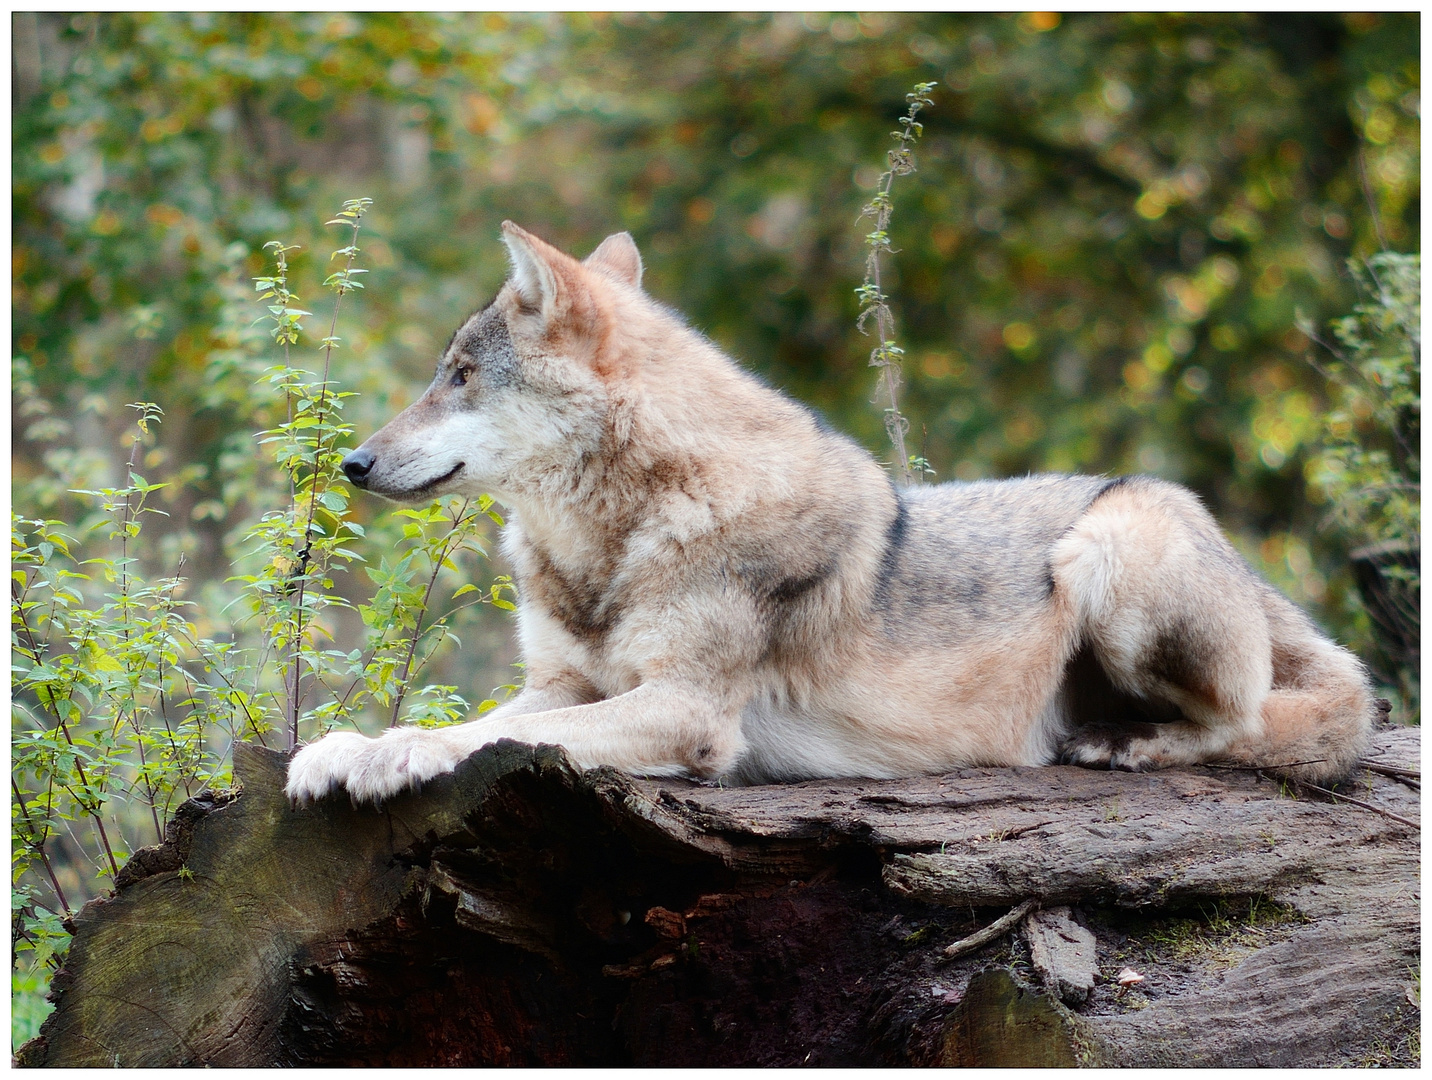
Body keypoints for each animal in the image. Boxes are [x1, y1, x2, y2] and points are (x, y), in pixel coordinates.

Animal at [282, 223, 1374, 802]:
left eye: (460, 377)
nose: (353, 463)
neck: (619, 537)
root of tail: (1237, 559)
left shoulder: (685, 711)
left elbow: (475, 740)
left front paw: (391, 759)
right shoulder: (562, 685)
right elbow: (463, 717)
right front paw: (345, 748)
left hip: (1112, 543)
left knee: (1254, 722)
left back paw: (1125, 744)